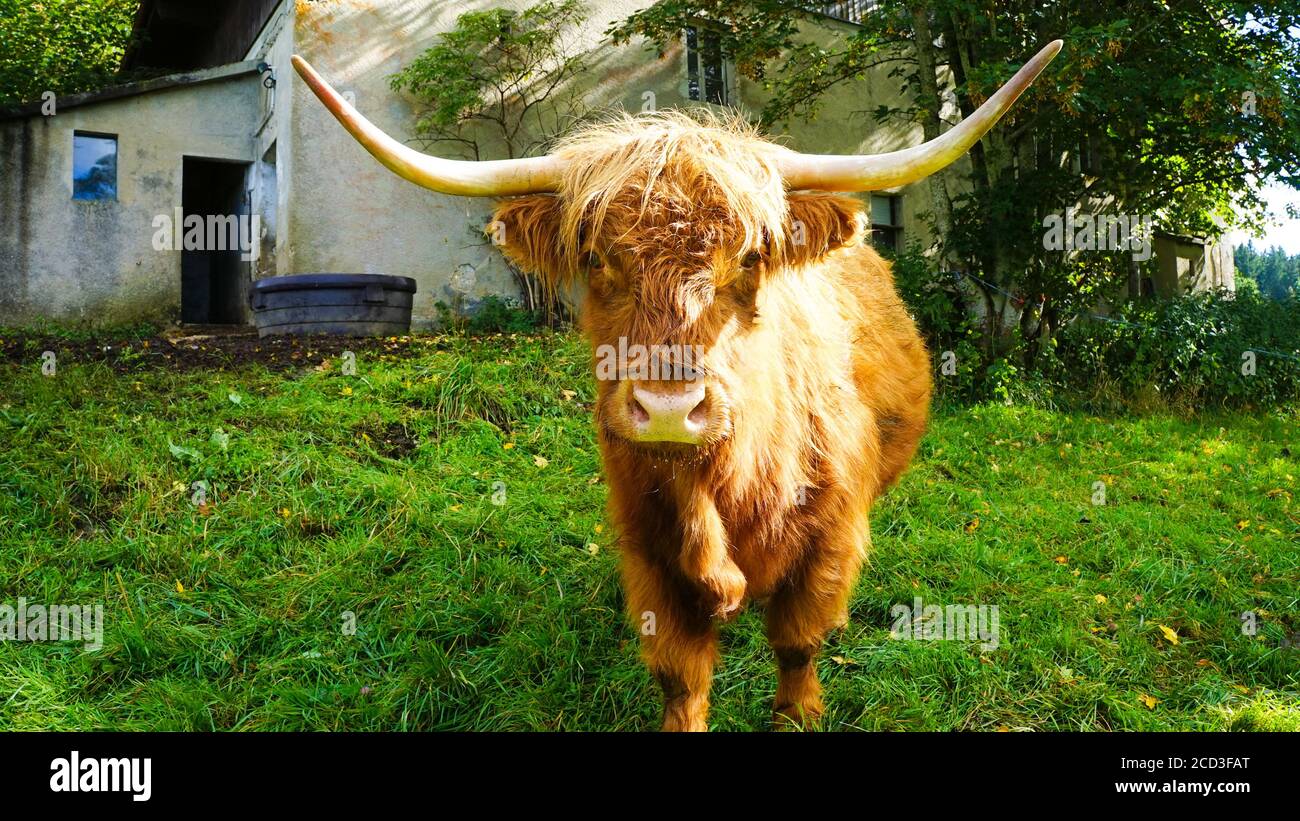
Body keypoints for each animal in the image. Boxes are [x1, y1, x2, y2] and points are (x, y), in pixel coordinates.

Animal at [292, 40, 1061, 731]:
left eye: (749, 256)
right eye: (596, 257)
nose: (668, 409)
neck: (725, 488)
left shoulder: (829, 538)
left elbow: (799, 642)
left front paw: (799, 712)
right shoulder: (650, 549)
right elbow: (680, 675)